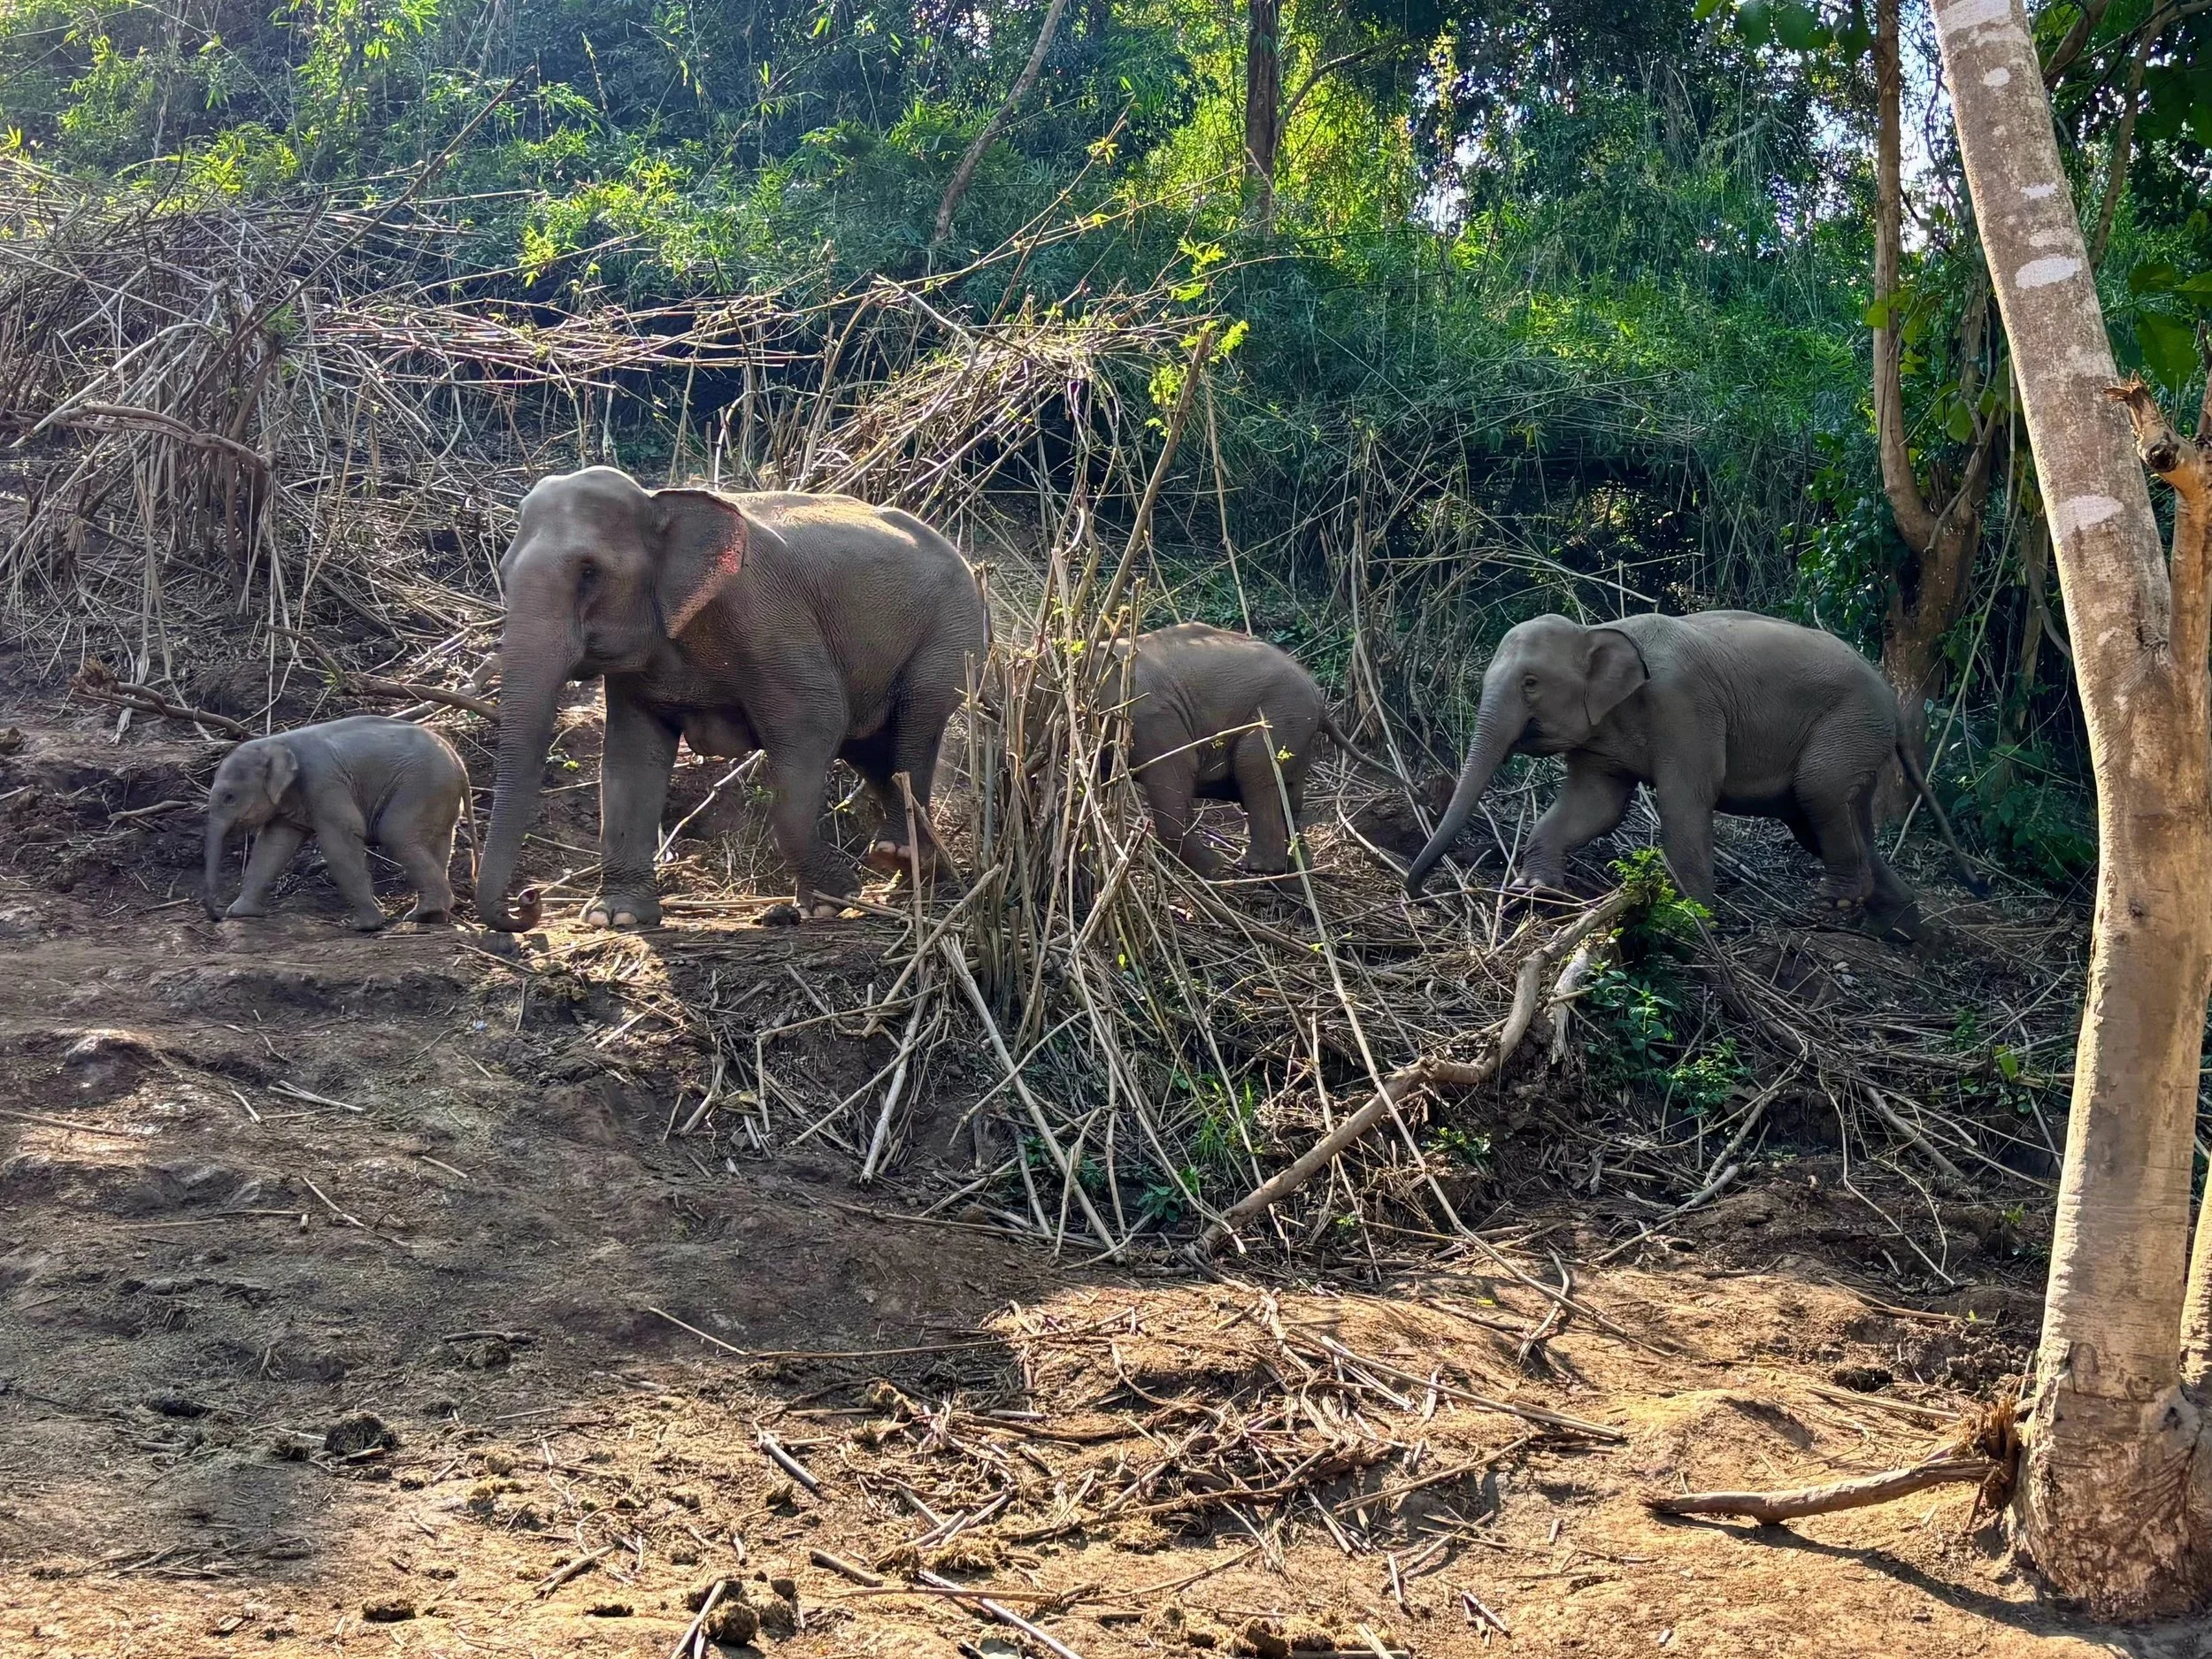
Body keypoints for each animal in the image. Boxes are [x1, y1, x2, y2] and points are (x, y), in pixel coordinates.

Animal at [203, 715, 470, 930]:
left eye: (229, 797)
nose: (217, 917)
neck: (275, 742)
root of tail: (456, 758)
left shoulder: (323, 782)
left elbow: (340, 841)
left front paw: (363, 926)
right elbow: (272, 846)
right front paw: (240, 913)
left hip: (420, 787)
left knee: (396, 835)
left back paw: (425, 915)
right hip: (440, 795)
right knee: (439, 842)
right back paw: (430, 916)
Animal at [475, 466, 989, 931]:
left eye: (588, 572)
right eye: (503, 573)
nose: (528, 900)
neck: (661, 499)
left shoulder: (767, 620)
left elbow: (815, 722)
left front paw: (832, 900)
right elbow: (630, 758)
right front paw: (616, 917)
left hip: (952, 632)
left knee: (915, 727)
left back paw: (895, 857)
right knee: (872, 751)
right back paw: (924, 873)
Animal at [1117, 622, 1399, 878]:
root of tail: (1319, 698)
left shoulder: (1151, 718)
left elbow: (1173, 771)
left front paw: (1215, 869)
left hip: (1280, 716)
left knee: (1254, 767)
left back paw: (1254, 867)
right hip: (1295, 725)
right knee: (1289, 791)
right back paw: (1296, 870)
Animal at [1402, 611, 1985, 919]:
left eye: (1530, 683)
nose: (1418, 892)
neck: (1603, 629)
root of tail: (1892, 700)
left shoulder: (1684, 707)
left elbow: (1686, 802)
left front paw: (1691, 916)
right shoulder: (1603, 735)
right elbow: (1595, 806)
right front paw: (1536, 891)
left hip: (1848, 724)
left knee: (1819, 793)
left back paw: (1839, 901)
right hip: (1858, 737)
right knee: (1831, 813)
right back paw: (1897, 914)